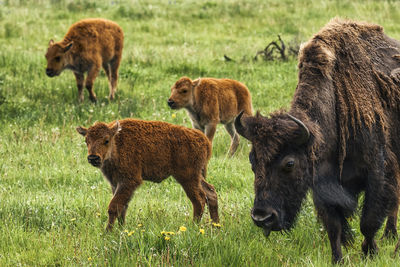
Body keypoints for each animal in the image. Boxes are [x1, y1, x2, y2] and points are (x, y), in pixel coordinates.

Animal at [75, 118, 219, 231]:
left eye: (106, 140)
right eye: (86, 140)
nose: (93, 158)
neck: (117, 143)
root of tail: (204, 140)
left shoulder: (129, 181)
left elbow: (114, 207)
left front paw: (108, 232)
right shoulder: (116, 183)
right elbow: (122, 208)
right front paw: (121, 229)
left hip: (187, 178)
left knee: (199, 200)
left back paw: (192, 226)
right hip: (196, 176)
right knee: (211, 192)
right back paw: (216, 226)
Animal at [234, 19, 400, 264]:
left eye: (289, 163)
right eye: (252, 161)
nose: (262, 217)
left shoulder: (378, 171)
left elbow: (368, 222)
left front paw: (370, 253)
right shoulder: (322, 185)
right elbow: (334, 227)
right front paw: (337, 260)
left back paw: (392, 239)